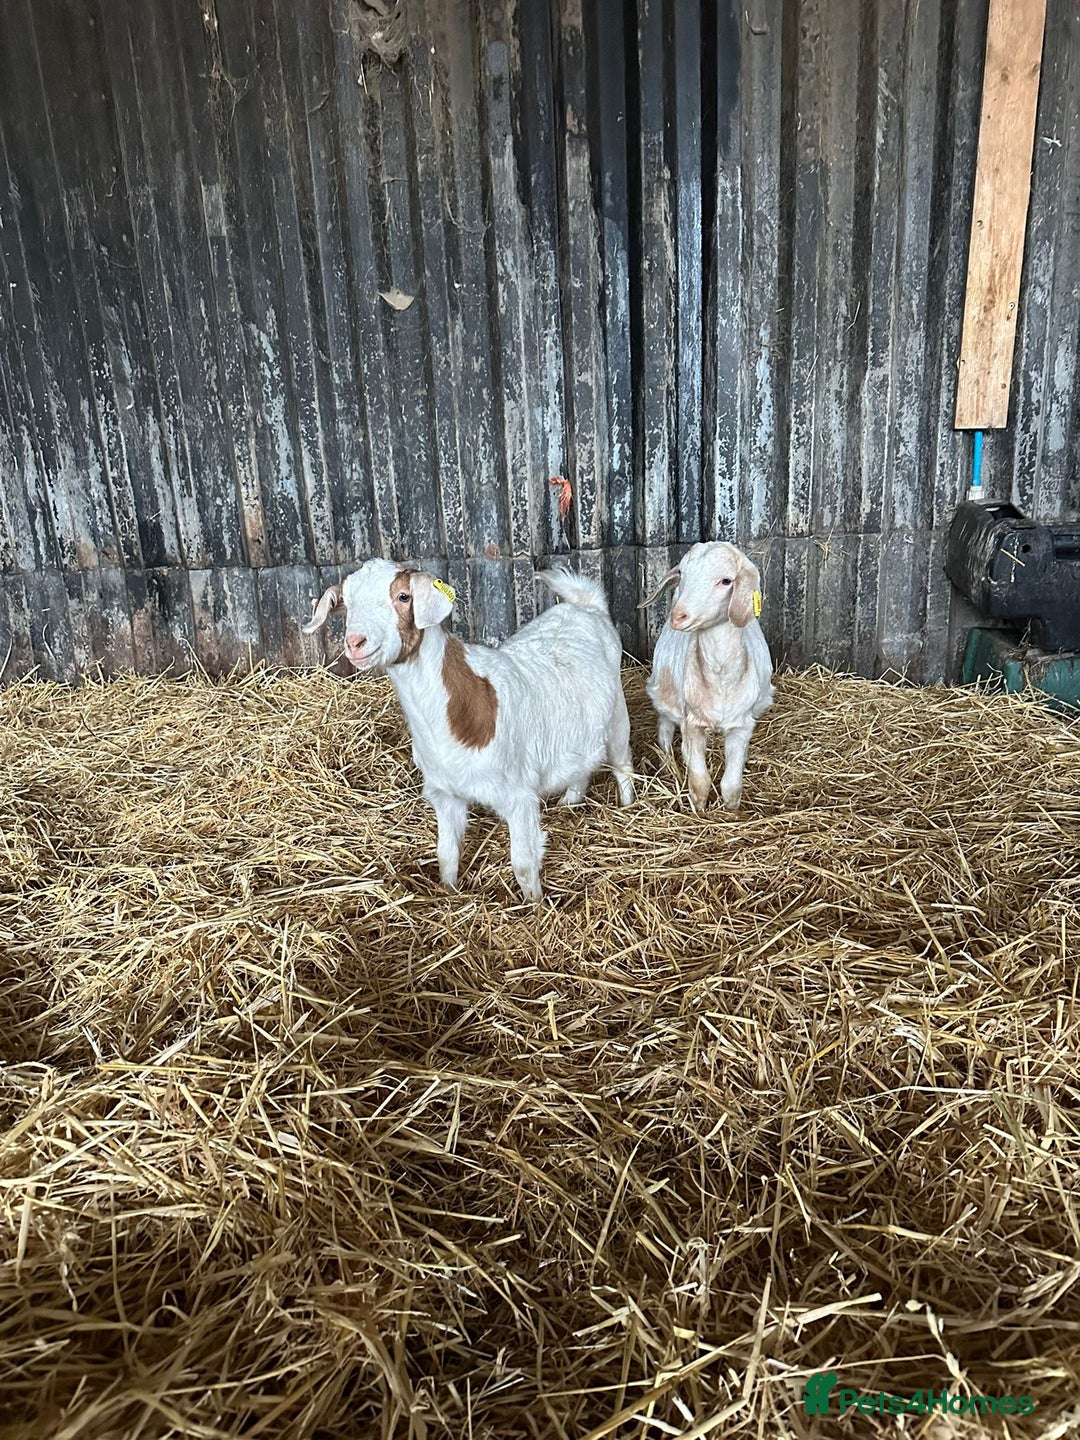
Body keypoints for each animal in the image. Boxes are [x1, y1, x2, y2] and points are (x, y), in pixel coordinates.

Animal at [304, 561, 636, 900]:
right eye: (346, 604)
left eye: (403, 596)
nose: (355, 642)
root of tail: (587, 605)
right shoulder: (445, 794)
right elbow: (446, 854)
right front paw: (450, 891)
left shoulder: (519, 796)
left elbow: (524, 865)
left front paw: (534, 905)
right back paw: (570, 800)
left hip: (617, 717)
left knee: (623, 763)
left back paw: (628, 805)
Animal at [645, 541, 774, 812]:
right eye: (682, 573)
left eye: (726, 581)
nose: (678, 616)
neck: (720, 678)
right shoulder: (691, 724)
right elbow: (700, 781)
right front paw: (700, 812)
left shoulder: (741, 726)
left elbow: (732, 786)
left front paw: (731, 812)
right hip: (663, 695)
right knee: (664, 731)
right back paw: (667, 765)